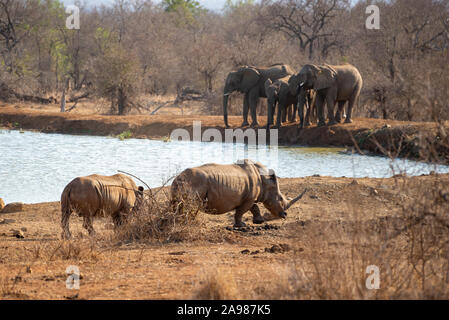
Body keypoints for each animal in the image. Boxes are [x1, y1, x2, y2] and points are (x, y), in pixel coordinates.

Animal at [170, 160, 306, 228]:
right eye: (280, 199)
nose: (285, 214)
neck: (265, 181)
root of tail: (178, 178)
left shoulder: (250, 197)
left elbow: (254, 207)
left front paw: (259, 221)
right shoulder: (249, 198)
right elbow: (241, 211)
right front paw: (242, 225)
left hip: (180, 185)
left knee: (176, 205)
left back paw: (177, 222)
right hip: (194, 183)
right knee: (190, 206)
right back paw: (188, 224)